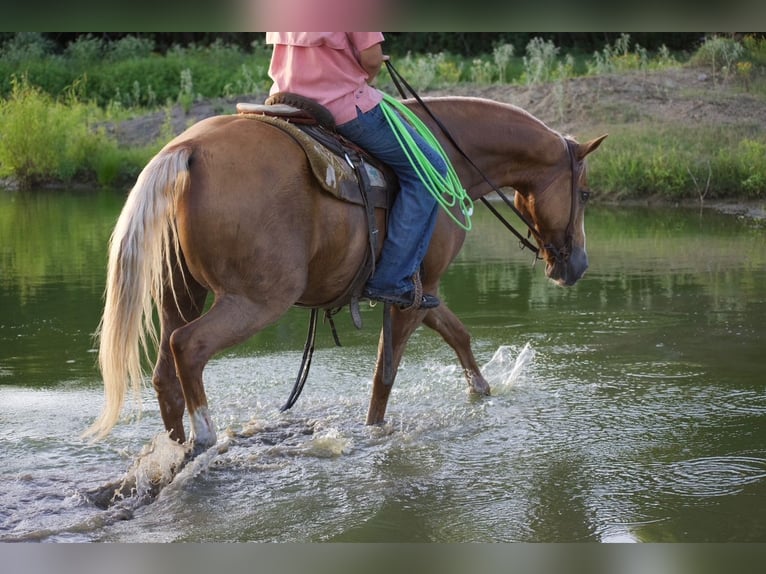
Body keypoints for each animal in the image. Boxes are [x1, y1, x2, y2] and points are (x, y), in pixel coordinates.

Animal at [85, 96, 606, 451]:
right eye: (584, 194)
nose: (579, 264)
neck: (447, 156)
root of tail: (188, 149)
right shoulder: (411, 294)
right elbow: (384, 375)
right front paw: (375, 432)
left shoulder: (422, 291)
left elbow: (457, 333)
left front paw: (481, 390)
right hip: (256, 299)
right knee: (187, 348)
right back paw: (207, 437)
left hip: (180, 291)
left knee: (164, 376)